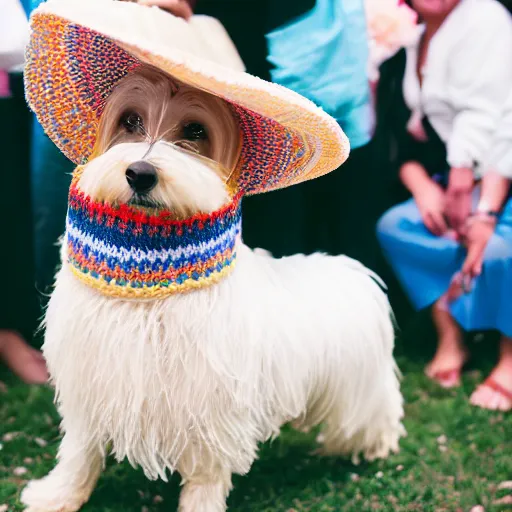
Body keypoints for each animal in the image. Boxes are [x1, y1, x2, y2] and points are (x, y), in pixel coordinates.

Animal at [22, 66, 404, 512]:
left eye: (196, 130)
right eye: (130, 121)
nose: (140, 173)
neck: (150, 290)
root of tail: (349, 270)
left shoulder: (210, 407)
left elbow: (205, 476)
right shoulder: (89, 384)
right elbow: (79, 454)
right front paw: (57, 495)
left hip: (357, 393)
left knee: (377, 412)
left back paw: (378, 446)